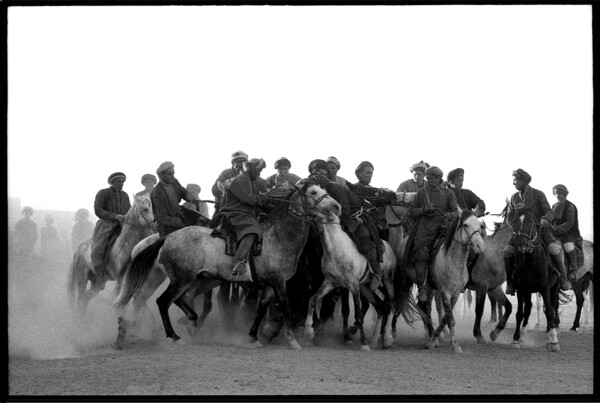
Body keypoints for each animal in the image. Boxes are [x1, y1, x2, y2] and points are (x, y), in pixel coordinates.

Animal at [67, 194, 156, 324]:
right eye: (145, 209)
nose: (154, 225)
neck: (127, 247)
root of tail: (79, 249)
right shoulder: (123, 279)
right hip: (82, 279)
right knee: (80, 300)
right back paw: (81, 324)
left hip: (97, 283)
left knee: (85, 299)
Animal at [116, 183, 342, 350]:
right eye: (313, 192)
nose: (337, 207)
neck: (279, 235)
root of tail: (167, 238)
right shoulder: (279, 282)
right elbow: (285, 307)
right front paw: (293, 341)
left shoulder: (269, 283)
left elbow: (261, 309)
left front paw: (253, 337)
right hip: (181, 279)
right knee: (162, 301)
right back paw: (172, 335)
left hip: (191, 279)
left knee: (174, 300)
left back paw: (188, 322)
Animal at [508, 207, 564, 352]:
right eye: (515, 222)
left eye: (530, 222)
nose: (520, 243)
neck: (531, 261)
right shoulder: (521, 289)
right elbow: (520, 313)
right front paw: (515, 339)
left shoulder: (545, 288)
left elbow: (549, 312)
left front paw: (554, 341)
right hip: (529, 291)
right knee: (528, 309)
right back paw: (523, 337)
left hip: (554, 288)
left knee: (551, 308)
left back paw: (550, 338)